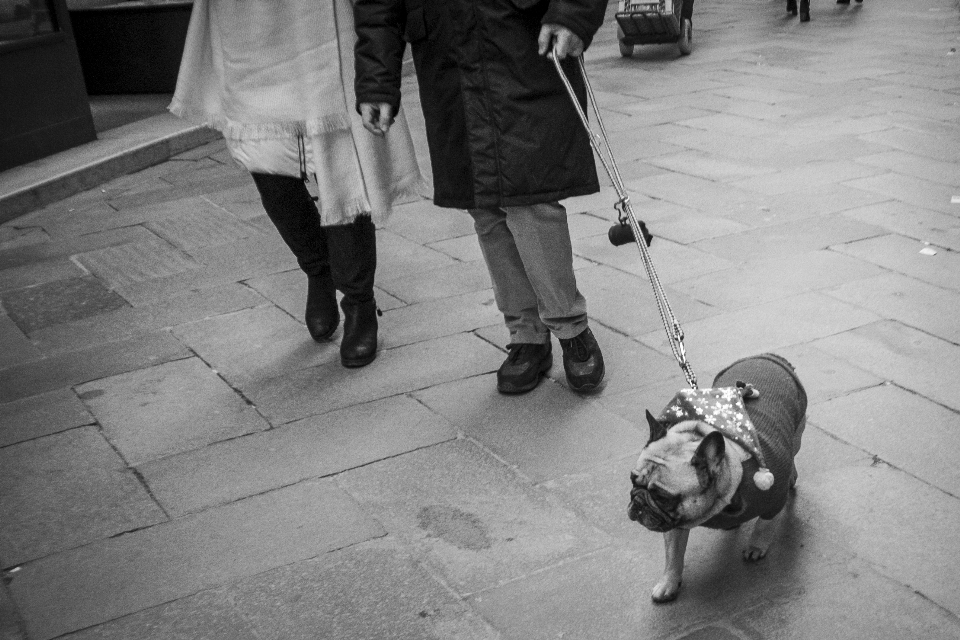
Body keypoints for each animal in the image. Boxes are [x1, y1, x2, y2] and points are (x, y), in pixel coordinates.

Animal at [628, 352, 808, 604]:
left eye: (663, 497)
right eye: (633, 481)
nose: (638, 501)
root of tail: (768, 356)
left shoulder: (774, 500)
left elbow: (763, 526)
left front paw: (756, 546)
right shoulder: (675, 525)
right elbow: (673, 555)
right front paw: (668, 583)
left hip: (798, 430)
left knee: (793, 451)